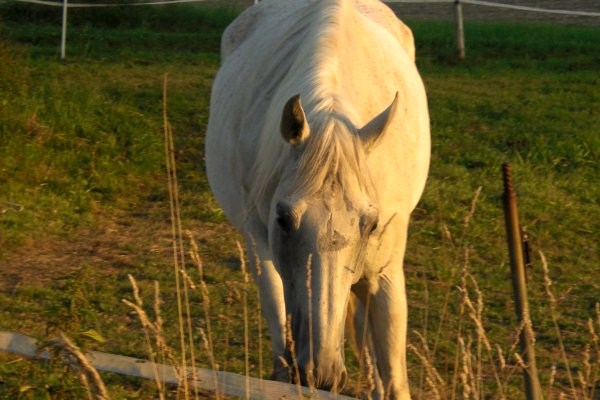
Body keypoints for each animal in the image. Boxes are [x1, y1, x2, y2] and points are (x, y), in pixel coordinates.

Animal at [205, 0, 426, 396]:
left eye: (371, 223)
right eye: (283, 217)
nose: (322, 374)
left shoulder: (385, 272)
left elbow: (394, 375)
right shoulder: (263, 247)